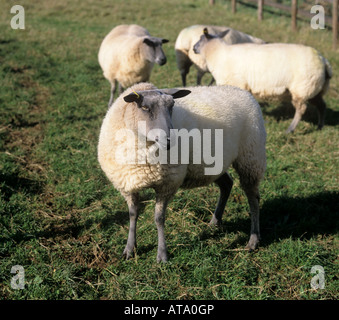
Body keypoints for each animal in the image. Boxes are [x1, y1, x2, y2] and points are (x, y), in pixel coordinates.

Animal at [98, 82, 268, 262]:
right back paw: (215, 222)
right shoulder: (128, 184)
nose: (169, 140)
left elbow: (159, 218)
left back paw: (253, 240)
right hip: (214, 165)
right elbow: (132, 214)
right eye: (144, 107)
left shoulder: (167, 183)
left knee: (253, 198)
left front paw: (162, 254)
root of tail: (242, 91)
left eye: (172, 106)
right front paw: (129, 249)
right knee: (227, 184)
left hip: (250, 158)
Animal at [193, 27, 334, 132]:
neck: (217, 54)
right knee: (322, 106)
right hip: (315, 88)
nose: (193, 48)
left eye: (200, 39)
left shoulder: (236, 84)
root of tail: (324, 62)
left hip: (302, 88)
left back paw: (290, 129)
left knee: (301, 109)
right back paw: (320, 126)